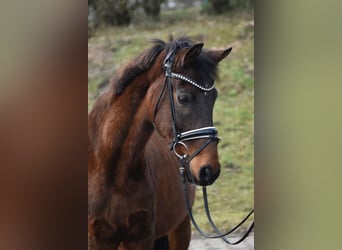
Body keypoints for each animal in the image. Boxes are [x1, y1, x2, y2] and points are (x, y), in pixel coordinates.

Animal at [88, 35, 232, 250]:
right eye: (183, 98)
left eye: (214, 98)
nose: (209, 169)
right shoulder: (97, 239)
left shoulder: (141, 237)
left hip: (180, 229)